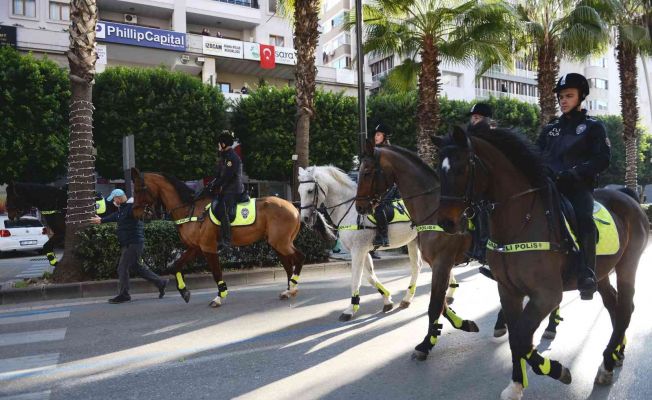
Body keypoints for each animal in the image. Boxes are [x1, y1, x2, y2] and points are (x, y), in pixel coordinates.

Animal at [131, 167, 306, 308]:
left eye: (139, 189)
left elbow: (216, 273)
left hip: (281, 242)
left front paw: (219, 297)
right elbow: (176, 266)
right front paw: (184, 291)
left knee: (299, 257)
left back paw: (293, 286)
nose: (135, 213)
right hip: (277, 243)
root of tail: (292, 206)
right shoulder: (195, 247)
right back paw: (289, 290)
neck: (191, 209)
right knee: (289, 265)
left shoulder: (209, 247)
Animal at [298, 165, 456, 318]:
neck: (350, 211)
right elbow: (370, 277)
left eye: (310, 191)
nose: (304, 218)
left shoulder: (358, 251)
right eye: (299, 191)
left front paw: (350, 309)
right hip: (413, 241)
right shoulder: (363, 251)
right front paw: (387, 300)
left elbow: (356, 278)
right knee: (419, 266)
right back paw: (412, 298)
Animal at [354, 139, 482, 358]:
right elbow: (441, 304)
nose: (360, 207)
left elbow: (435, 306)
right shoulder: (438, 265)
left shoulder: (442, 264)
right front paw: (458, 324)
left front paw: (426, 344)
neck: (434, 209)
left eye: (368, 171)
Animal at [432, 126, 648, 398]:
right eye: (439, 169)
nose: (445, 222)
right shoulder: (508, 292)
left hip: (627, 266)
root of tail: (627, 196)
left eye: (461, 168)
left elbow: (521, 338)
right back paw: (616, 353)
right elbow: (516, 338)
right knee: (615, 307)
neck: (520, 222)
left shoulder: (547, 296)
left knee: (626, 308)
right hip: (601, 274)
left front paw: (557, 370)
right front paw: (516, 384)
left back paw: (608, 363)